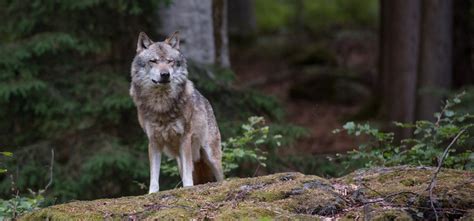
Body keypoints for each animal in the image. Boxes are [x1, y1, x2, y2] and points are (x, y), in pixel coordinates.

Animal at [129, 31, 225, 193]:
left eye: (170, 61)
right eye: (153, 61)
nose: (165, 74)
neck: (161, 104)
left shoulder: (185, 138)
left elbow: (187, 175)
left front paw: (188, 188)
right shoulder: (153, 141)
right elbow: (154, 175)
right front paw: (152, 193)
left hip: (211, 156)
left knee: (221, 177)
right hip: (180, 160)